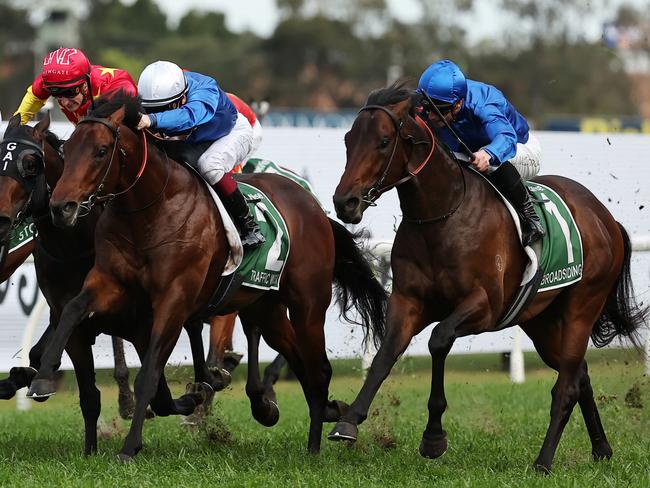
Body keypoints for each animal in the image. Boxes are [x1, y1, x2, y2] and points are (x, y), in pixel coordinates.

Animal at [27, 94, 384, 462]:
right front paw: (42, 377)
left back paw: (314, 444)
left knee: (319, 369)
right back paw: (305, 410)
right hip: (266, 308)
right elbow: (72, 310)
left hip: (308, 304)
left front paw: (130, 446)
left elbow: (149, 374)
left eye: (100, 151)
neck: (150, 210)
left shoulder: (173, 300)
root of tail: (314, 207)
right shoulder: (109, 282)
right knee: (299, 360)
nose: (62, 207)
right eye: (68, 148)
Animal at [326, 84, 644, 472]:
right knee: (579, 374)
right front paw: (348, 421)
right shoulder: (408, 301)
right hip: (541, 321)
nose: (345, 202)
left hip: (581, 307)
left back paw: (543, 461)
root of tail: (606, 218)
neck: (443, 216)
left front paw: (433, 437)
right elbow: (385, 355)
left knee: (566, 385)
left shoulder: (484, 306)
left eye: (384, 141)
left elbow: (439, 339)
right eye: (348, 139)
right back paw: (601, 448)